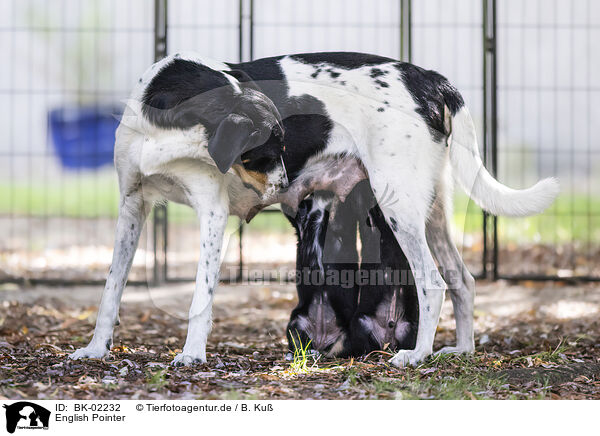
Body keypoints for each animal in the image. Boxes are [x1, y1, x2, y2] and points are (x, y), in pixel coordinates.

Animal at [70, 51, 556, 366]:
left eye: (280, 145)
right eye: (267, 150)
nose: (289, 188)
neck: (169, 122)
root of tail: (430, 78)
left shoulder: (211, 212)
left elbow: (200, 298)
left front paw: (191, 354)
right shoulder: (131, 207)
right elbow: (111, 290)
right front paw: (95, 349)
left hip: (399, 205)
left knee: (433, 283)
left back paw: (417, 355)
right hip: (430, 212)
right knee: (463, 280)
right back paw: (464, 350)